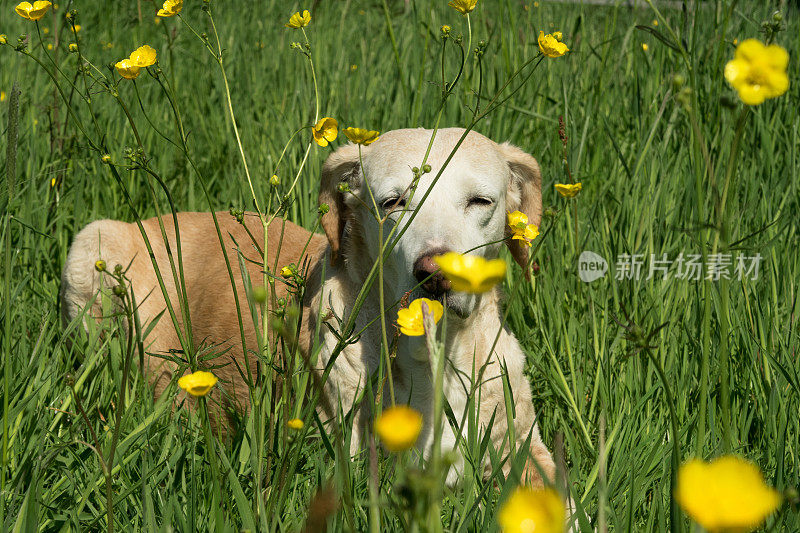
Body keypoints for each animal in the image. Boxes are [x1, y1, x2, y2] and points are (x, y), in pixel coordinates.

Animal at [61, 127, 556, 488]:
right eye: (393, 202)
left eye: (481, 201)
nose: (434, 274)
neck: (430, 356)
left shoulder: (524, 449)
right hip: (92, 241)